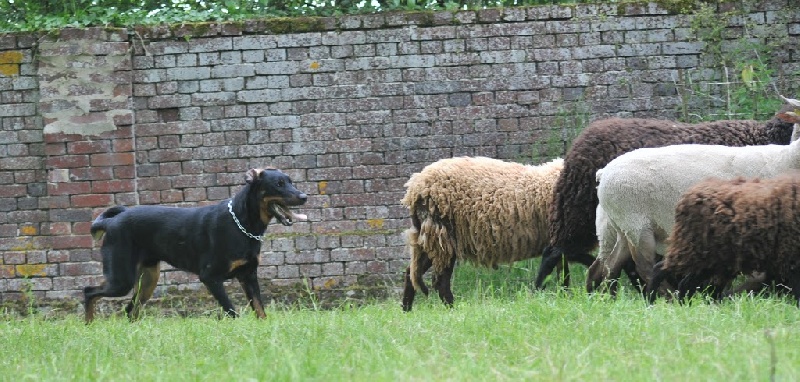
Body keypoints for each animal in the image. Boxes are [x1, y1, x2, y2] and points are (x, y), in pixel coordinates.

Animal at [83, 169, 304, 320]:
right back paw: (89, 323)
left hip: (147, 279)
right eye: (278, 184)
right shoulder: (210, 277)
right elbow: (231, 311)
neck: (243, 223)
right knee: (89, 292)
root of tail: (110, 222)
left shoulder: (248, 275)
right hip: (122, 279)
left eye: (291, 181)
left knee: (130, 309)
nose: (304, 196)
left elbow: (260, 310)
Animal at [400, 155, 564, 310]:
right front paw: (542, 294)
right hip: (441, 236)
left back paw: (407, 310)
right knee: (440, 280)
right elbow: (551, 269)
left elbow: (562, 273)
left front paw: (563, 295)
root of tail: (415, 187)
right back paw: (453, 310)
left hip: (428, 238)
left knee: (412, 273)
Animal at [644, 173, 800, 304]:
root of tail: (689, 194)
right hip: (691, 248)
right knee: (660, 269)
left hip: (713, 259)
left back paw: (685, 306)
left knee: (686, 283)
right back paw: (650, 302)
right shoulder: (790, 259)